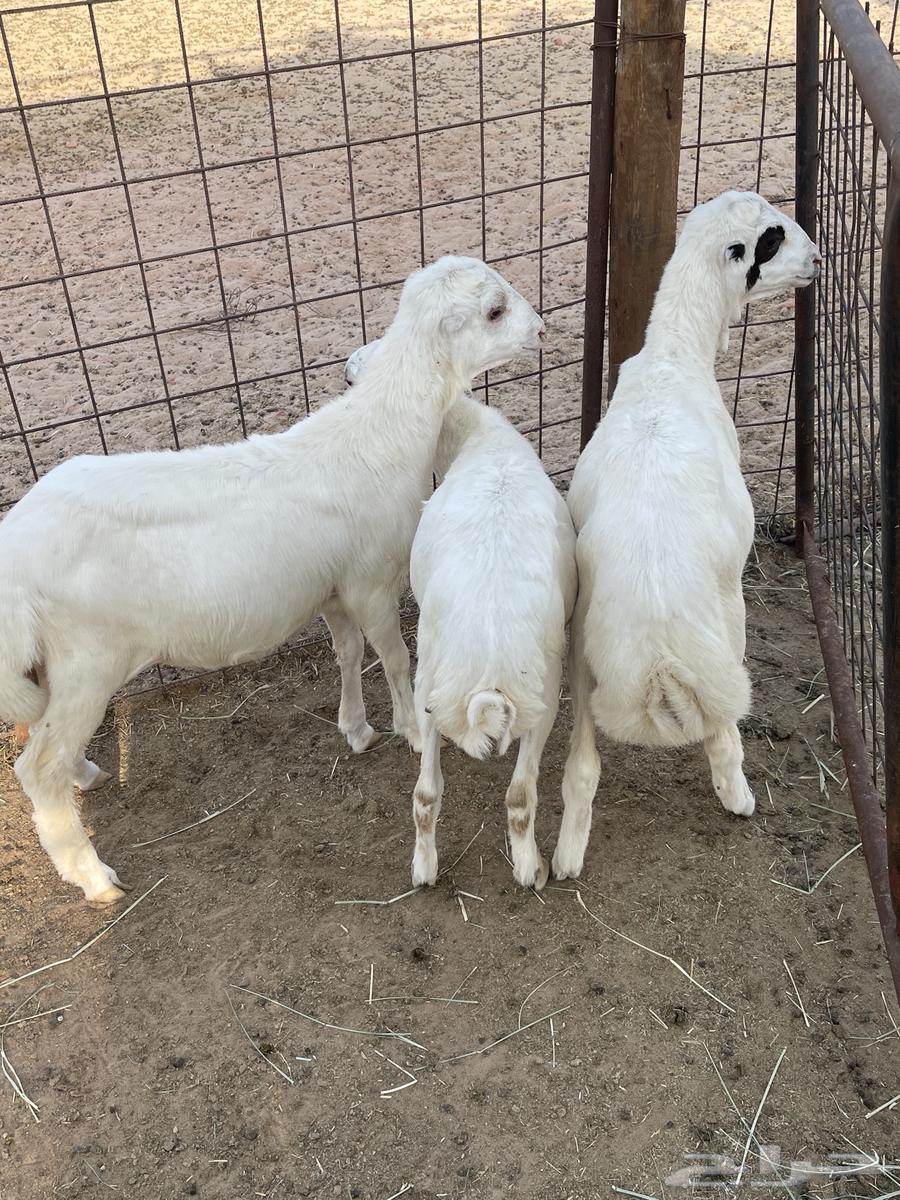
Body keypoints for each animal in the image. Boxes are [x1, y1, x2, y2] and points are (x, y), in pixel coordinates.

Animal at [0, 255, 544, 903]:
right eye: (494, 311)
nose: (541, 328)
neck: (382, 430)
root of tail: (13, 555)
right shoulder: (370, 581)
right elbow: (394, 658)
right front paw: (410, 730)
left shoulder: (333, 589)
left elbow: (347, 653)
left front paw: (356, 729)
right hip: (87, 659)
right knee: (37, 769)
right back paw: (92, 876)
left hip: (53, 667)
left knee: (48, 744)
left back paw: (85, 774)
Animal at [553, 191, 820, 881]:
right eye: (772, 238)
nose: (817, 259)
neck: (673, 358)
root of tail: (658, 653)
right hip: (724, 642)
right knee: (723, 731)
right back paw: (738, 796)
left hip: (585, 654)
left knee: (582, 764)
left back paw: (566, 855)